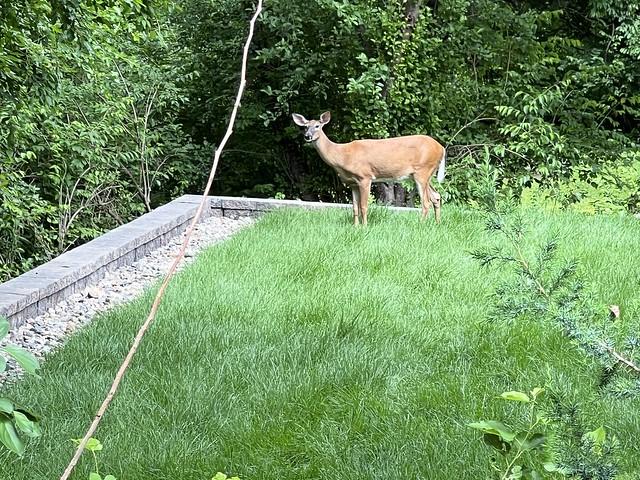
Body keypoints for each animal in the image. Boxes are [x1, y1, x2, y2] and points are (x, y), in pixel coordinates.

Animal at [292, 111, 446, 226]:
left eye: (317, 126)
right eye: (305, 127)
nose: (307, 136)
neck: (343, 155)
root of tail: (442, 148)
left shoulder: (365, 177)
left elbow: (363, 206)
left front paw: (364, 227)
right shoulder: (352, 183)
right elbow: (354, 207)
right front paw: (355, 226)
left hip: (423, 170)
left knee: (426, 201)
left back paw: (421, 224)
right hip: (424, 174)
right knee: (436, 196)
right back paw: (437, 223)